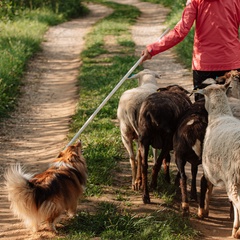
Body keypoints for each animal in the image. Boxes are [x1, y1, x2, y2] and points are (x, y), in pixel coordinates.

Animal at [197, 82, 240, 238]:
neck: (220, 115)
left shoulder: (209, 171)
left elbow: (208, 188)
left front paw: (204, 212)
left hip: (233, 181)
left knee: (238, 202)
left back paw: (237, 231)